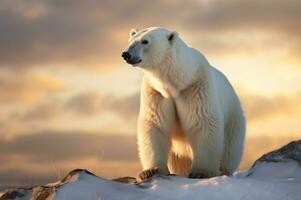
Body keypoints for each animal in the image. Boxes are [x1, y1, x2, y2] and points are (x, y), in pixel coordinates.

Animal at [120, 27, 245, 181]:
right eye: (130, 40)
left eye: (145, 41)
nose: (126, 54)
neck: (178, 80)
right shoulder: (156, 92)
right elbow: (155, 123)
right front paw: (150, 171)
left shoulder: (196, 87)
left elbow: (203, 121)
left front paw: (201, 172)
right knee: (178, 160)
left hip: (233, 119)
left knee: (230, 148)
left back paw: (222, 170)